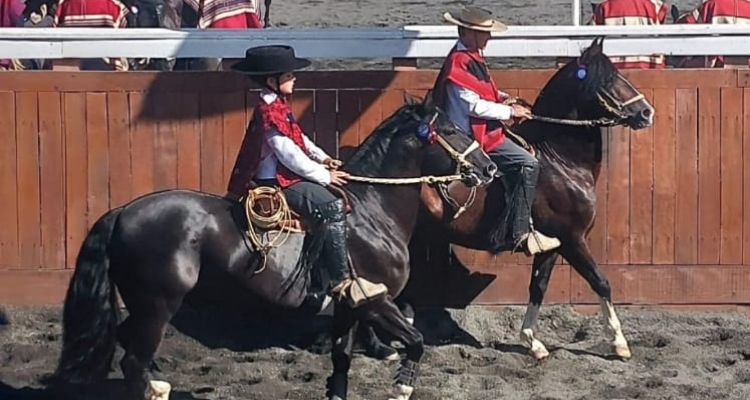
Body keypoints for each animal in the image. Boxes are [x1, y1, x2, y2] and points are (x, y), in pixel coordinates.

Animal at [51, 94, 500, 400]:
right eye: (452, 130)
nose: (489, 168)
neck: (372, 212)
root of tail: (122, 212)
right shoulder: (375, 300)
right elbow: (416, 340)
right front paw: (402, 384)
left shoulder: (348, 308)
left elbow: (341, 362)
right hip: (159, 305)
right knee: (133, 361)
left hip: (146, 307)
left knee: (130, 347)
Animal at [362, 36, 656, 362]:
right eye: (608, 79)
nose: (646, 112)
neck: (559, 162)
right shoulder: (572, 239)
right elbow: (600, 282)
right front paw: (619, 342)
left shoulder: (552, 245)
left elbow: (538, 286)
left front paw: (532, 341)